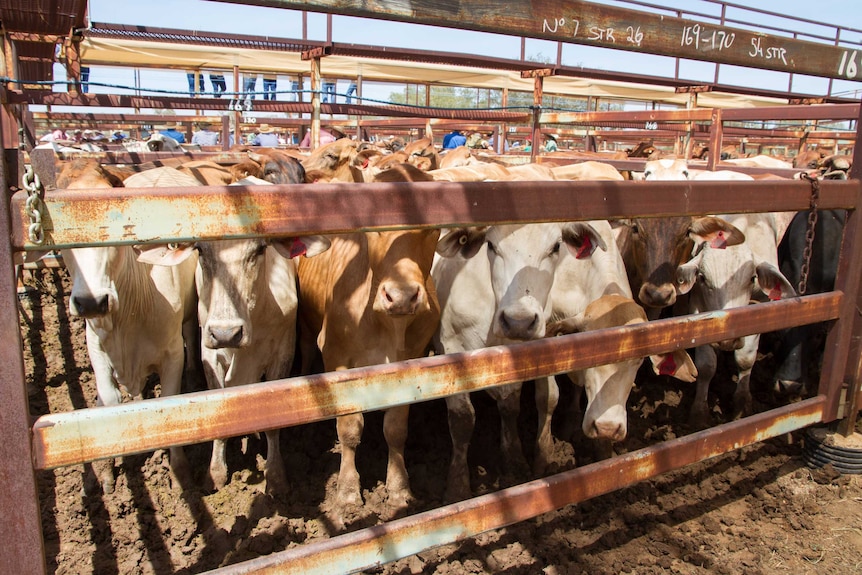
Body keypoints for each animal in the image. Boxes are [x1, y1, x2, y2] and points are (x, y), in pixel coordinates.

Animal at [55, 163, 199, 496]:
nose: (91, 302)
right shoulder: (95, 345)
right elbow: (109, 400)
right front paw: (107, 469)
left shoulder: (173, 353)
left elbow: (170, 403)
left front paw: (180, 470)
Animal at [140, 166, 332, 496]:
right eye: (201, 251)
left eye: (258, 250)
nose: (227, 333)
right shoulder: (210, 355)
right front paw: (215, 473)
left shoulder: (282, 353)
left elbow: (273, 422)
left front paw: (276, 476)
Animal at [298, 164, 446, 524]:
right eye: (374, 226)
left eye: (433, 227)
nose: (402, 296)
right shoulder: (336, 357)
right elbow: (350, 428)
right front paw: (348, 492)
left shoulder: (412, 360)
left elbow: (396, 428)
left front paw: (399, 487)